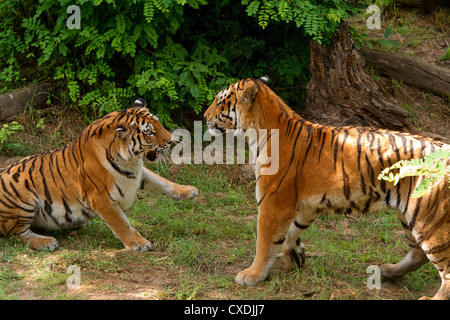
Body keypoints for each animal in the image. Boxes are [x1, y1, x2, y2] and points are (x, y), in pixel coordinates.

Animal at [0, 98, 199, 252]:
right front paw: (138, 242)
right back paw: (46, 242)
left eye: (158, 124)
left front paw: (189, 191)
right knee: (16, 233)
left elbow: (163, 182)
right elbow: (121, 223)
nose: (172, 141)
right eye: (150, 132)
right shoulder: (101, 198)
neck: (130, 160)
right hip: (22, 195)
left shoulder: (137, 173)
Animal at [205, 77, 450, 300]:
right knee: (418, 253)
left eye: (219, 101)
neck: (258, 131)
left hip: (429, 218)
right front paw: (295, 257)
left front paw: (253, 274)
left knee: (444, 266)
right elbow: (291, 234)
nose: (205, 117)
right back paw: (388, 271)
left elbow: (264, 243)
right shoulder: (305, 207)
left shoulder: (273, 203)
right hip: (408, 213)